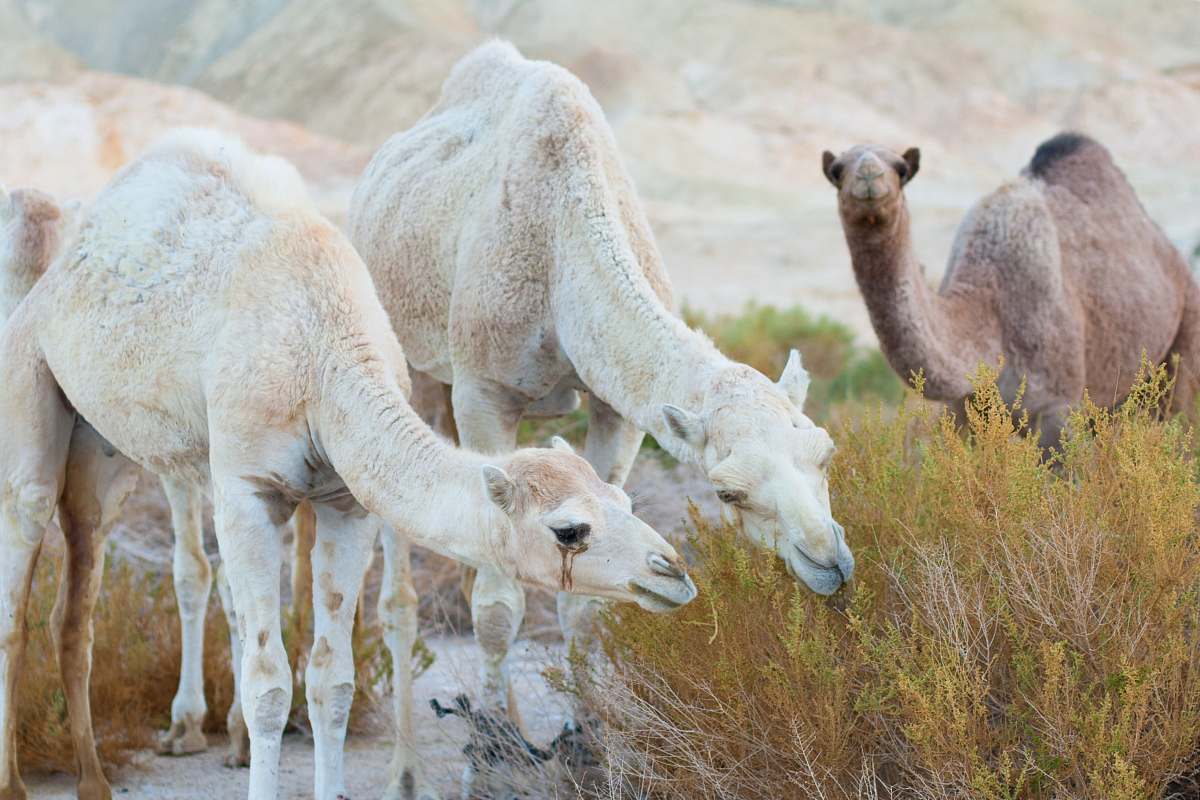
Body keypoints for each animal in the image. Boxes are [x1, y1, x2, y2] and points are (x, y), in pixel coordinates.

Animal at [0, 131, 696, 800]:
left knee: (77, 594)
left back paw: (95, 781)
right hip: (29, 372)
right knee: (24, 550)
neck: (324, 354)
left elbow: (331, 681)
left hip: (104, 450)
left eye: (624, 500)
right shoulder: (247, 489)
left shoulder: (345, 501)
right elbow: (267, 683)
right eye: (569, 530)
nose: (673, 571)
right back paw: (19, 780)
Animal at [348, 42, 854, 758]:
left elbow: (582, 600)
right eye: (726, 492)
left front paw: (584, 738)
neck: (561, 251)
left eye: (826, 452)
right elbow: (498, 604)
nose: (829, 562)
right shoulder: (485, 391)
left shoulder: (617, 413)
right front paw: (496, 749)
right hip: (415, 364)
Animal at [825, 130, 1200, 443]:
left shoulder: (1056, 410)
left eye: (901, 169)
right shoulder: (962, 411)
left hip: (1184, 333)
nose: (869, 176)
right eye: (838, 171)